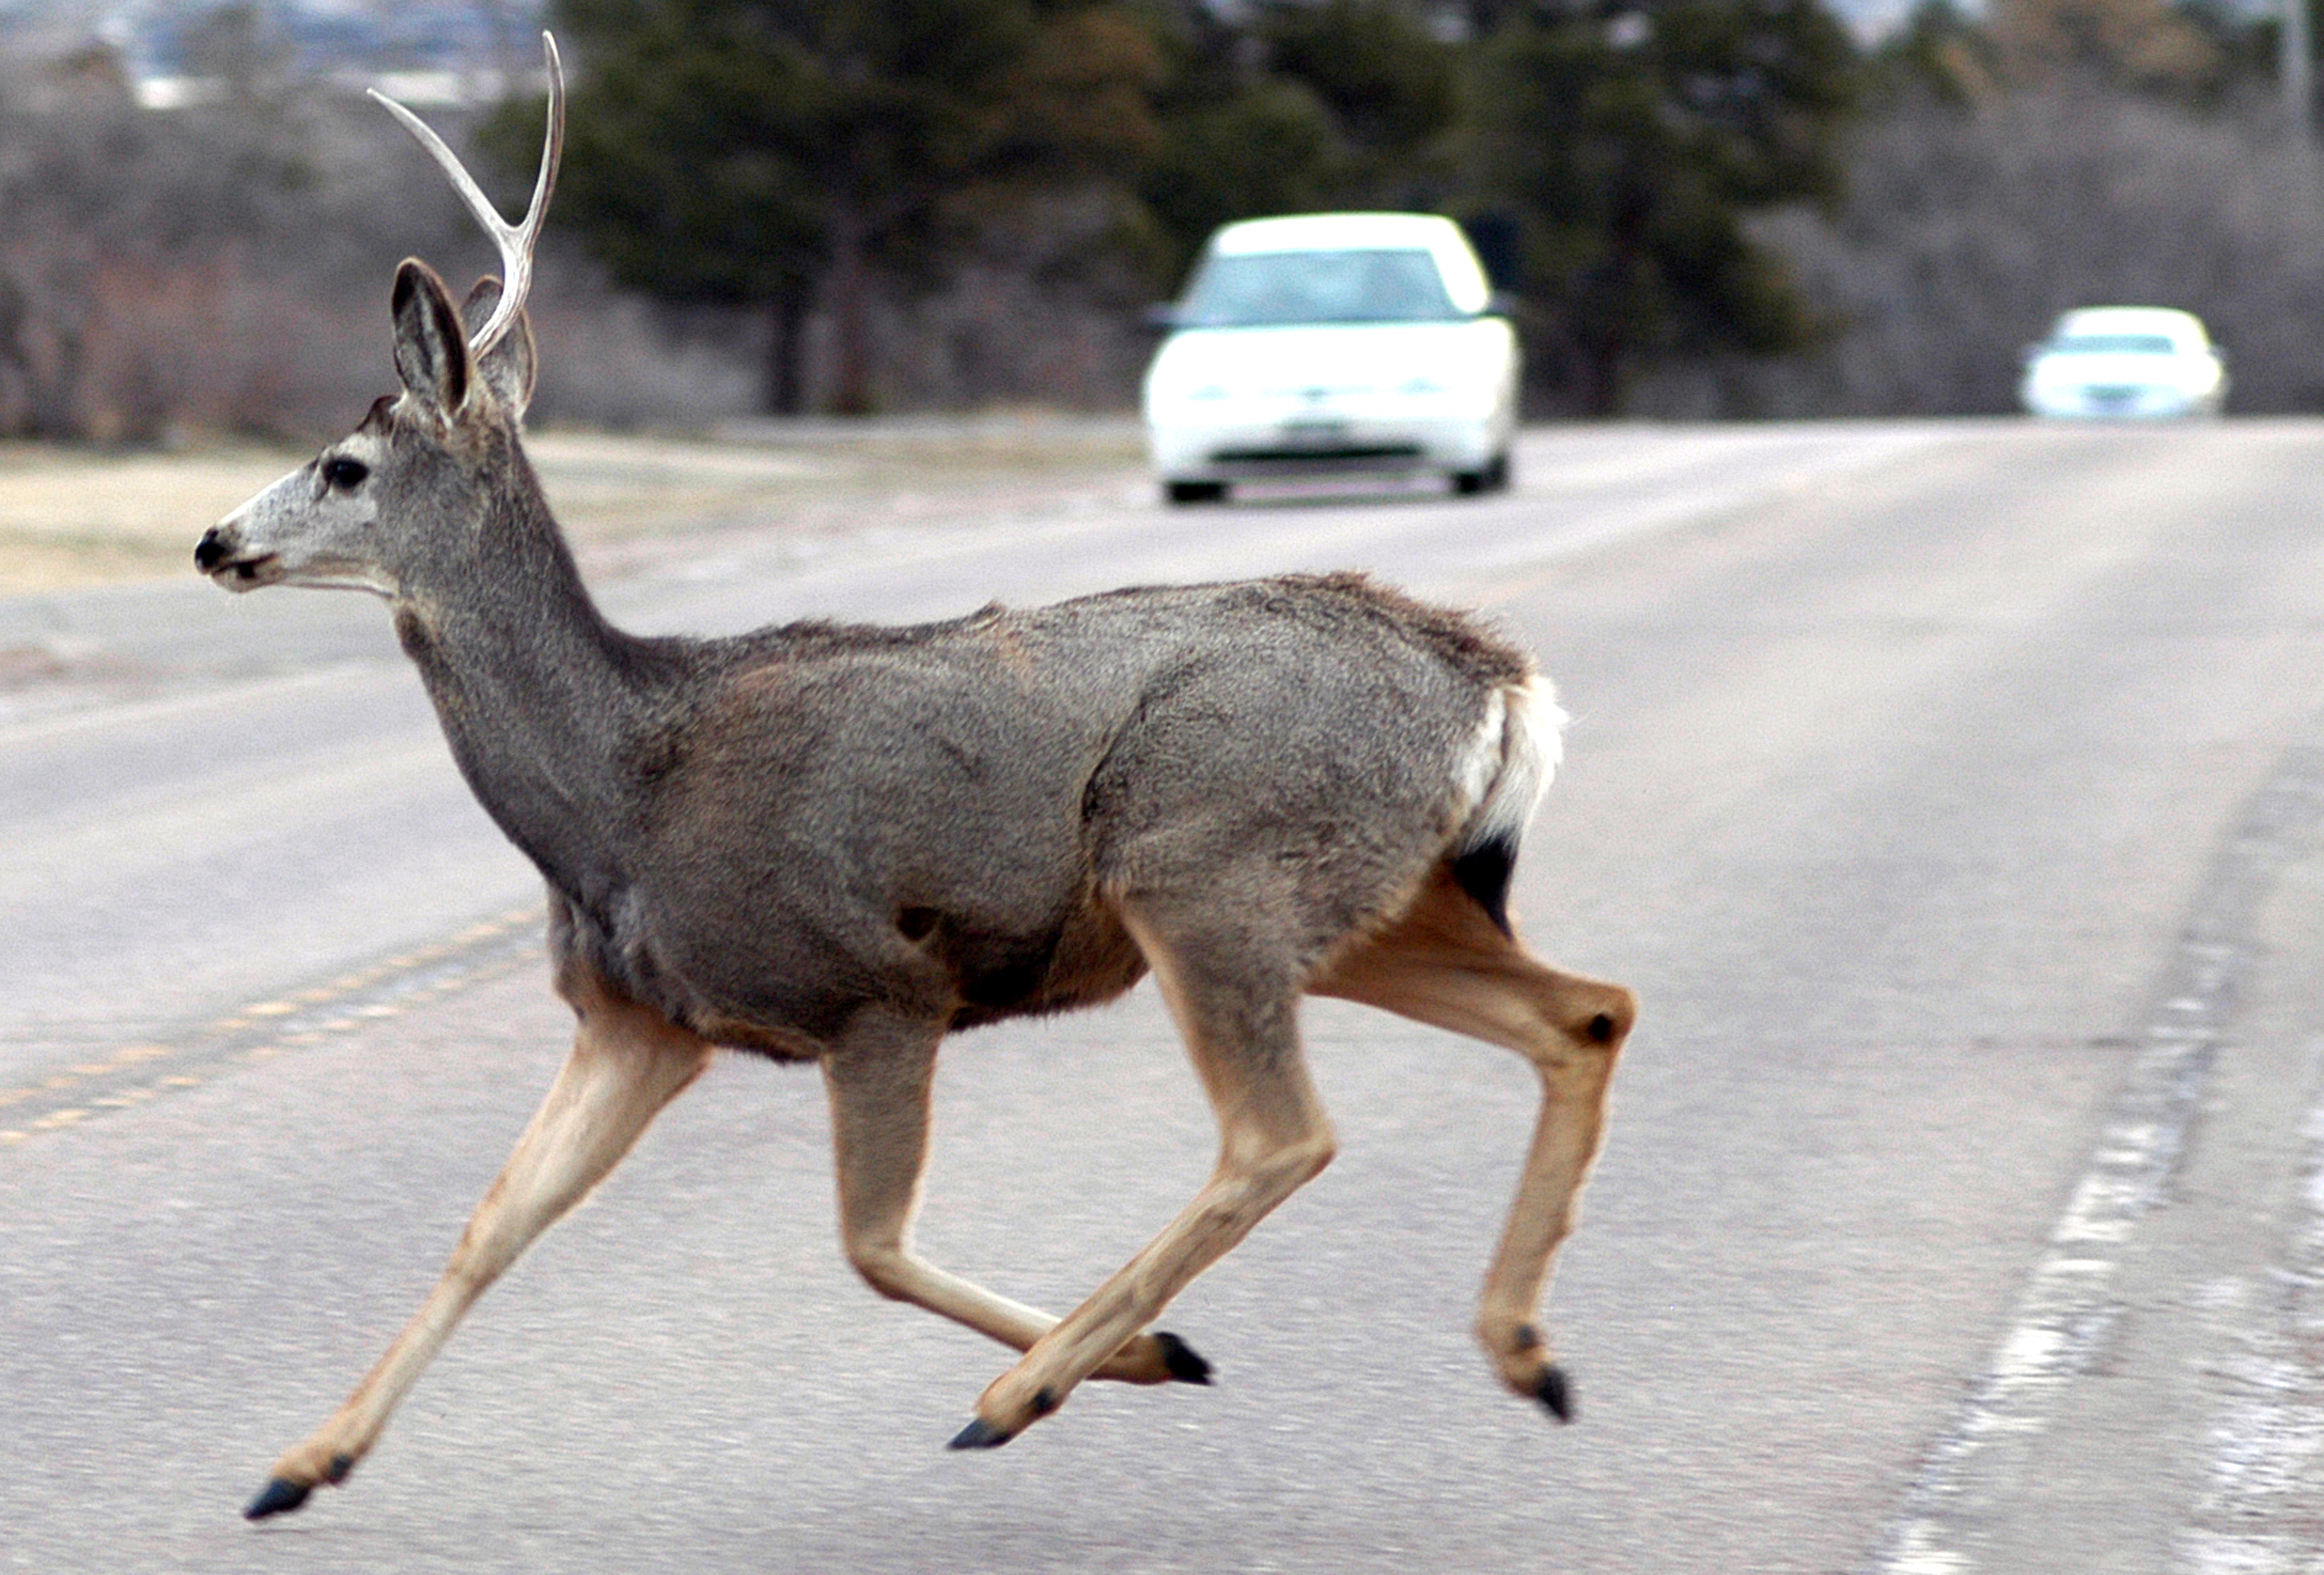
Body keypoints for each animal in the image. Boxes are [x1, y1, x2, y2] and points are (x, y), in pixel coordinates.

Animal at [199, 37, 1636, 1533]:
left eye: (345, 465)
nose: (214, 541)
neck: (617, 794)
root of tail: (1499, 681)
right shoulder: (639, 1020)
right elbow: (490, 1226)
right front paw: (297, 1466)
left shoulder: (873, 988)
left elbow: (870, 1245)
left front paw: (1139, 1355)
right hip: (1370, 902)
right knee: (1585, 1012)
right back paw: (1525, 1351)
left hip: (1205, 867)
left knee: (1281, 1134)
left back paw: (1025, 1392)